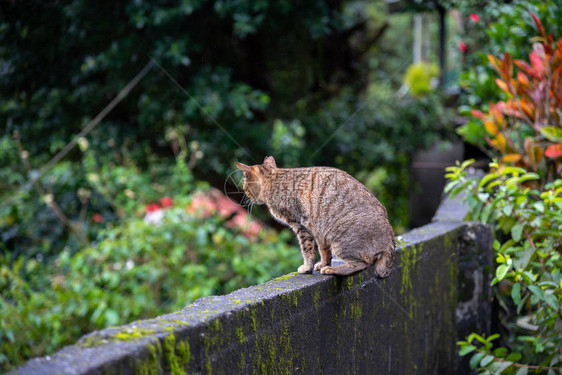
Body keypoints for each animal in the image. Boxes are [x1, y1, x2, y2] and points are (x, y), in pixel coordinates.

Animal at [235, 156, 394, 280]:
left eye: (245, 186)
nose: (245, 194)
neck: (275, 178)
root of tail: (390, 239)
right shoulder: (320, 233)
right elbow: (324, 252)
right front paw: (322, 263)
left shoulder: (301, 226)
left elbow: (306, 250)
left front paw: (307, 267)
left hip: (341, 241)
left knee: (362, 264)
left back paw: (332, 270)